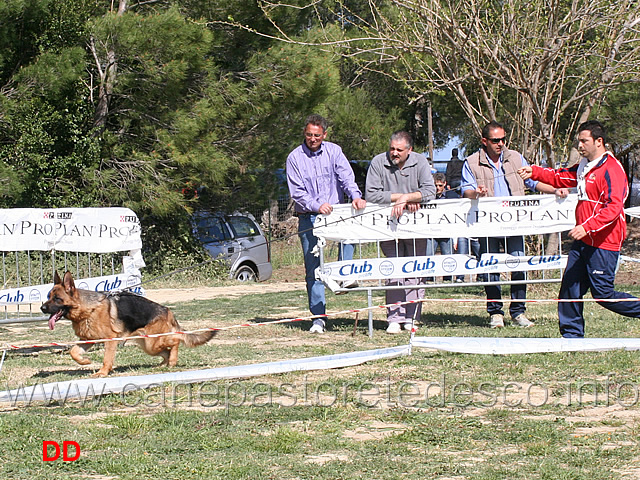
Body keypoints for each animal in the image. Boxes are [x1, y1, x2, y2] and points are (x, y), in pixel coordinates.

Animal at [43, 272, 218, 376]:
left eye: (57, 299)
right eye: (48, 297)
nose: (42, 308)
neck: (87, 308)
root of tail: (167, 311)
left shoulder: (110, 340)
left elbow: (107, 359)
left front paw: (102, 372)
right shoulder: (88, 340)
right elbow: (73, 352)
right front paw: (85, 362)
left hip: (153, 342)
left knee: (175, 340)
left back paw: (173, 361)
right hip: (148, 345)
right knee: (166, 351)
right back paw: (163, 364)